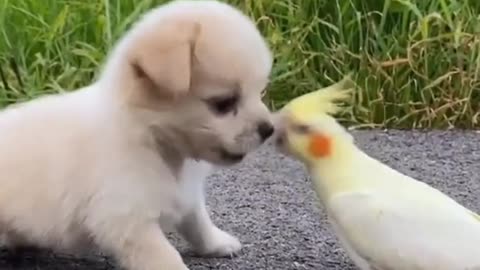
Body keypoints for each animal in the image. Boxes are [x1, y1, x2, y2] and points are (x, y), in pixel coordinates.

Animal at [0, 1, 272, 268]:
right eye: (224, 103)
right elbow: (166, 257)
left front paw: (216, 243)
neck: (152, 137)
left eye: (261, 92)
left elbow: (198, 223)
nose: (268, 129)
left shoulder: (187, 195)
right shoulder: (129, 221)